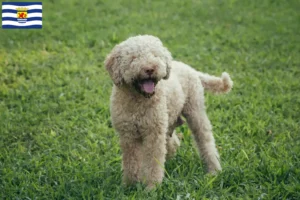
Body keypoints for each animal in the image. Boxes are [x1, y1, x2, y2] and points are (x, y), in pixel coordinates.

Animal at [104, 34, 233, 189]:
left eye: (155, 55)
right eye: (133, 58)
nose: (150, 69)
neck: (139, 100)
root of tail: (191, 69)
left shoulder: (154, 134)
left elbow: (153, 162)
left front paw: (151, 187)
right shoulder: (128, 135)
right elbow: (131, 162)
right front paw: (130, 185)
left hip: (195, 111)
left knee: (205, 140)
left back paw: (213, 171)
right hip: (168, 120)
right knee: (174, 141)